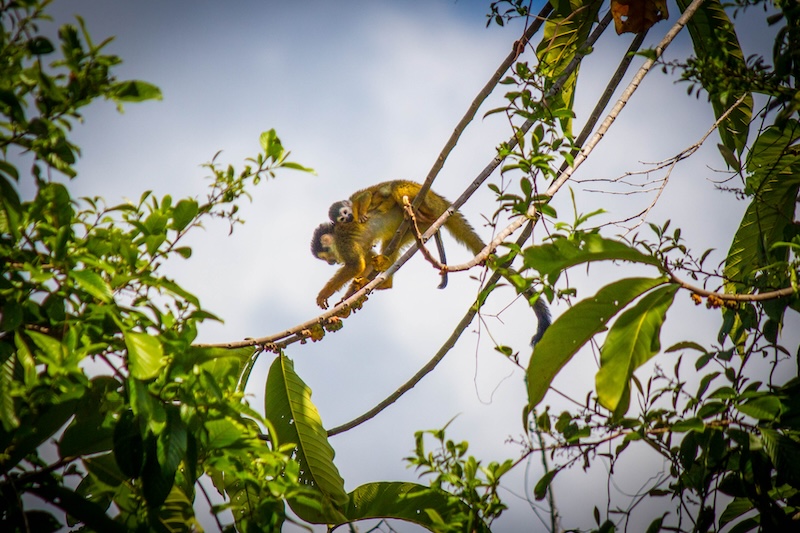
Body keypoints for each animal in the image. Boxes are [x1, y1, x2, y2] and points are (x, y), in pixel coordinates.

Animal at [311, 180, 551, 345]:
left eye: (328, 255)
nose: (331, 263)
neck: (336, 234)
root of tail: (439, 200)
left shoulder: (344, 243)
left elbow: (355, 266)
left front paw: (325, 295)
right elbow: (366, 261)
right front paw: (348, 300)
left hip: (417, 198)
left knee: (395, 194)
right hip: (411, 230)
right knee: (391, 244)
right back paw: (385, 280)